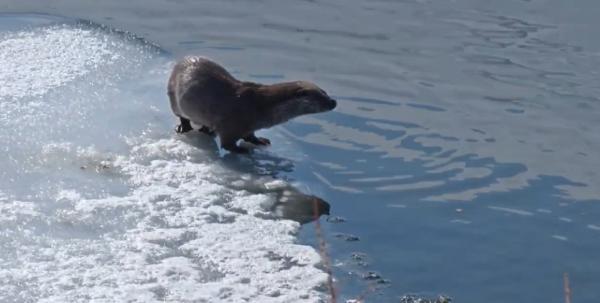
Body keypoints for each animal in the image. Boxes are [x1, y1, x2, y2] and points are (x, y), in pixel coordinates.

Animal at [168, 55, 338, 153]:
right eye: (319, 96)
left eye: (325, 92)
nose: (333, 102)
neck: (260, 106)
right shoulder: (231, 124)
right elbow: (227, 144)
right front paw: (241, 150)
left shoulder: (249, 125)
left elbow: (250, 136)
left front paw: (260, 141)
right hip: (174, 98)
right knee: (181, 116)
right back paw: (184, 127)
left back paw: (207, 130)